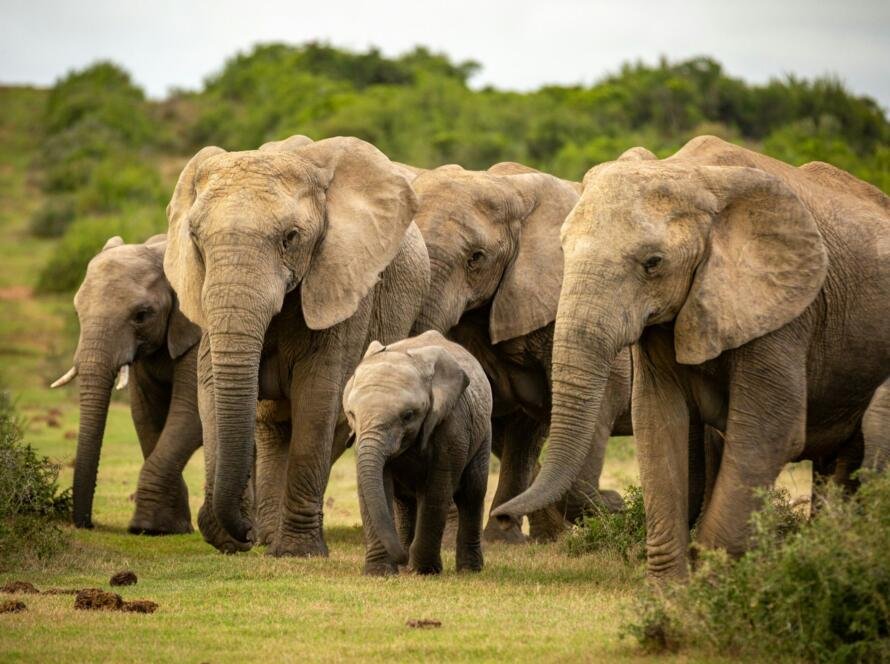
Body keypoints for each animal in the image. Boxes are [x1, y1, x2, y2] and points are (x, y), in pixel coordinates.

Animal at [50, 233, 201, 536]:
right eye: (77, 311)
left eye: (141, 315)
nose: (88, 524)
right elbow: (146, 416)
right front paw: (169, 529)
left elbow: (191, 413)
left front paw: (148, 527)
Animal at [168, 135, 432, 556]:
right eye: (194, 237)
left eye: (290, 238)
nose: (243, 532)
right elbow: (210, 387)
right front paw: (234, 539)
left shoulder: (342, 281)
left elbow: (318, 394)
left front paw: (298, 551)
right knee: (272, 426)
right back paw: (268, 537)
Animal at [342, 332, 492, 576]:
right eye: (351, 414)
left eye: (408, 415)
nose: (402, 558)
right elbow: (374, 488)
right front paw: (379, 573)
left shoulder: (452, 426)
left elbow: (437, 490)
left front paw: (424, 571)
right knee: (403, 501)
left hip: (483, 431)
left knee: (472, 492)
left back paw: (469, 570)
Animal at [492, 135, 888, 580]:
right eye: (563, 249)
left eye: (653, 264)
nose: (505, 516)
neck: (694, 175)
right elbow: (659, 423)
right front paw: (670, 591)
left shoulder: (781, 315)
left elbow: (770, 433)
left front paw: (708, 588)